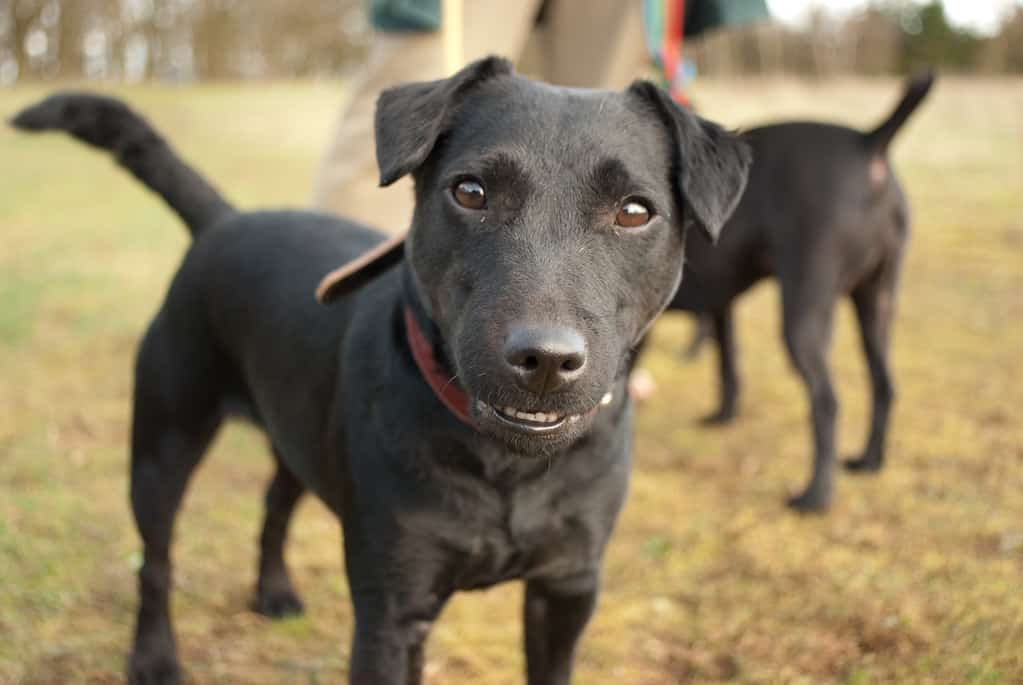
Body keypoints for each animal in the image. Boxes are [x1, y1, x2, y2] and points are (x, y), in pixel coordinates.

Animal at [9, 56, 752, 682]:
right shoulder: (392, 613)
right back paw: (154, 656)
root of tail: (224, 221)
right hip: (163, 442)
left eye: (635, 211)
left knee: (274, 502)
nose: (544, 359)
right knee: (155, 561)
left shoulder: (566, 590)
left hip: (295, 430)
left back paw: (273, 590)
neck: (504, 464)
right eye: (471, 191)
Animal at [654, 72, 937, 513]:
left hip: (804, 311)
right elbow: (728, 367)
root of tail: (869, 142)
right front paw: (723, 416)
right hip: (876, 303)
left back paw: (816, 495)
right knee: (884, 385)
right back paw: (869, 461)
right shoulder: (721, 306)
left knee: (826, 401)